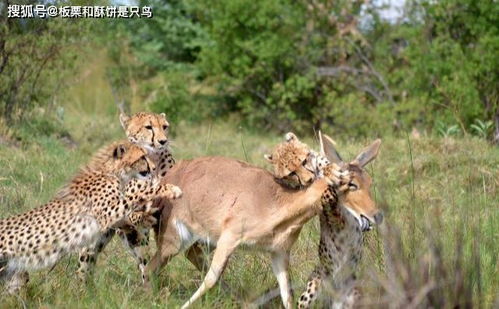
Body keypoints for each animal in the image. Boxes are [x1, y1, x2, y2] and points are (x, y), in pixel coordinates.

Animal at [0, 141, 182, 292]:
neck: (113, 172)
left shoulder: (112, 219)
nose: (153, 167)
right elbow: (138, 195)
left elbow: (130, 214)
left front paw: (146, 216)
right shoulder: (107, 211)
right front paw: (170, 189)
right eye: (142, 157)